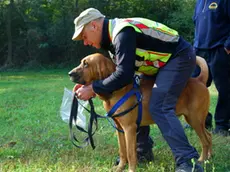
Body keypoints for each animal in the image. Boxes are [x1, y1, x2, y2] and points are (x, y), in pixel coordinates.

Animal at [68, 53, 212, 172]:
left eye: (86, 64)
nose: (70, 73)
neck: (117, 89)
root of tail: (199, 80)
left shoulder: (129, 129)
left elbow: (131, 154)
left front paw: (131, 170)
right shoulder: (119, 129)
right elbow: (122, 151)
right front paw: (119, 168)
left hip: (194, 119)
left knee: (205, 140)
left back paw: (201, 160)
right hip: (196, 120)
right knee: (209, 136)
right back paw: (208, 158)